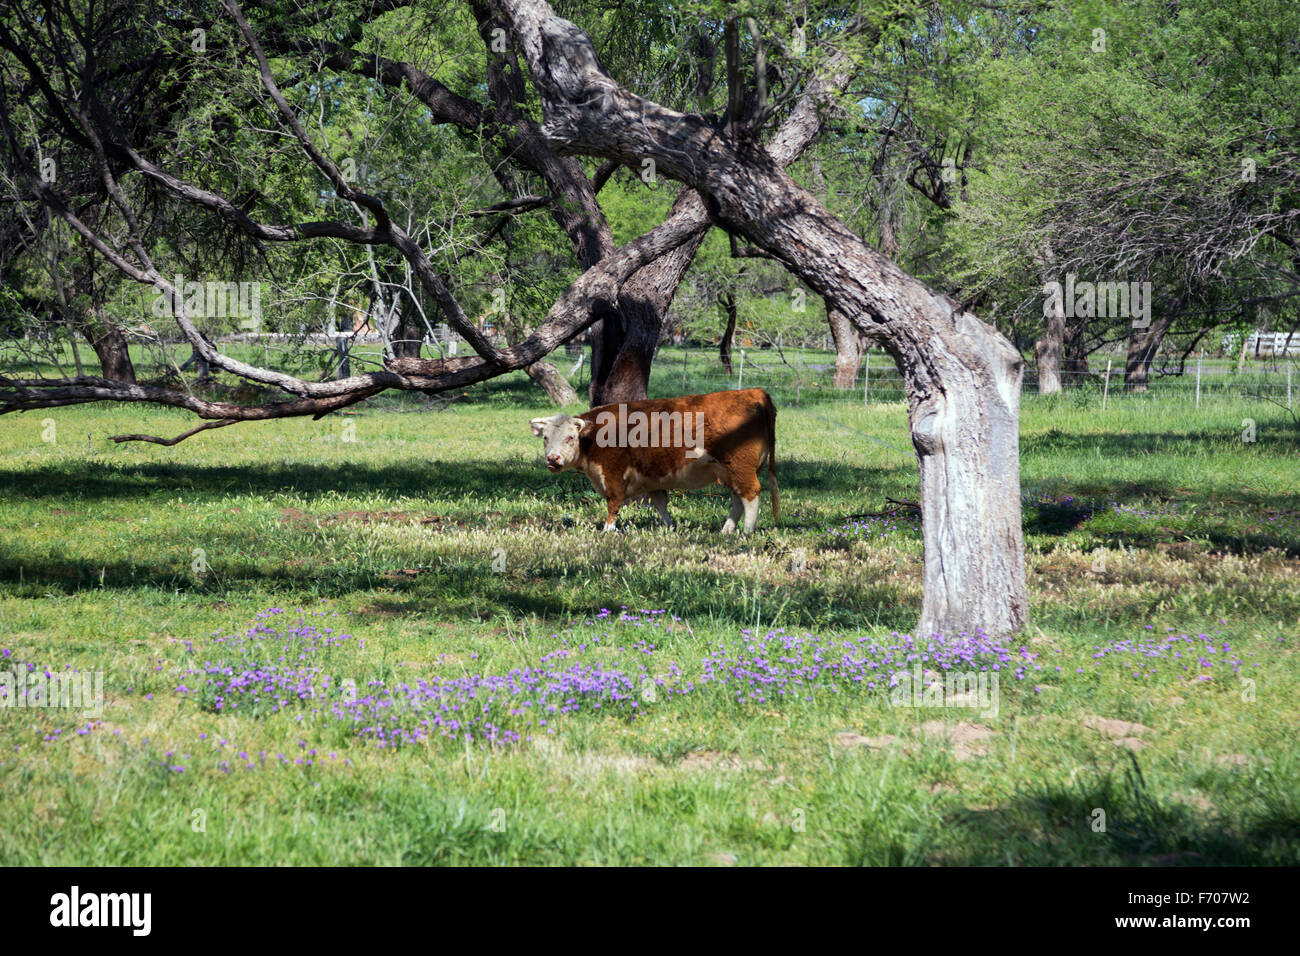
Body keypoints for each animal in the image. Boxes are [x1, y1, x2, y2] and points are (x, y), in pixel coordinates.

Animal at [530, 390, 774, 538]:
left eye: (570, 437)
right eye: (545, 438)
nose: (553, 459)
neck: (595, 437)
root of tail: (752, 392)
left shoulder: (613, 474)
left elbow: (613, 503)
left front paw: (607, 530)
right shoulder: (652, 481)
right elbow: (660, 504)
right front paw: (669, 527)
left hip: (740, 468)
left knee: (750, 495)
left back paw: (747, 532)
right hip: (730, 471)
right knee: (738, 499)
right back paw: (727, 530)